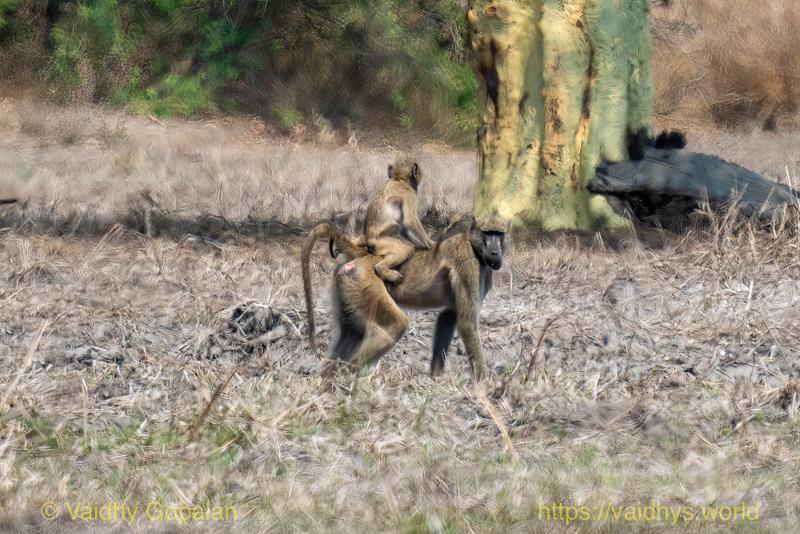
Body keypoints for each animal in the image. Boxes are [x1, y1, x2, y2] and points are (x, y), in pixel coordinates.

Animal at [302, 214, 509, 381]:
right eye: (488, 233)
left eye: (499, 234)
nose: (495, 254)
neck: (474, 246)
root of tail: (365, 257)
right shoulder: (468, 263)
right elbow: (467, 323)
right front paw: (484, 386)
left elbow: (448, 317)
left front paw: (434, 379)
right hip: (366, 281)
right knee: (395, 326)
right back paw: (347, 379)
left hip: (348, 286)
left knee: (352, 333)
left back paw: (326, 383)